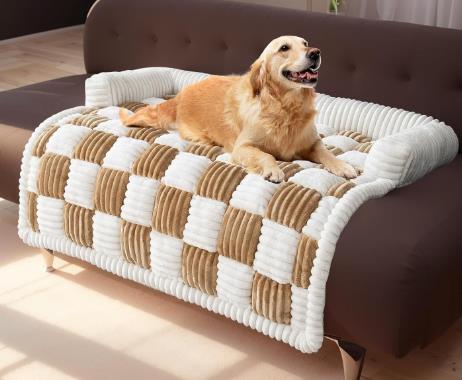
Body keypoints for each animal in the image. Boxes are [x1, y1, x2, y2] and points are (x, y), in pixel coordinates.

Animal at [121, 36, 356, 183]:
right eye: (284, 48)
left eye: (305, 43)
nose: (315, 52)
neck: (286, 107)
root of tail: (181, 95)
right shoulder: (242, 147)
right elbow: (266, 155)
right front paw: (273, 170)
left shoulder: (312, 143)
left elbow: (326, 152)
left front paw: (342, 166)